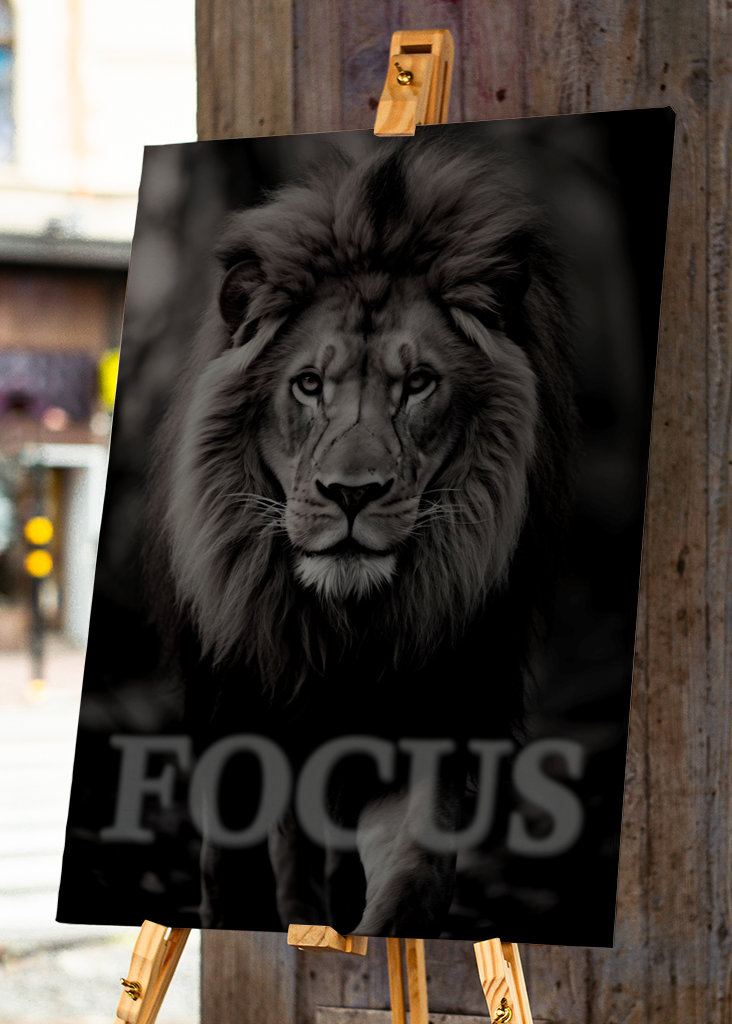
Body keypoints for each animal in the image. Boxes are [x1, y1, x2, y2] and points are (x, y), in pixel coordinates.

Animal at [147, 133, 577, 938]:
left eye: (418, 384)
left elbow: (414, 873)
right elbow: (237, 865)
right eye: (309, 385)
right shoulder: (239, 714)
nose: (351, 494)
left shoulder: (428, 727)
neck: (343, 631)